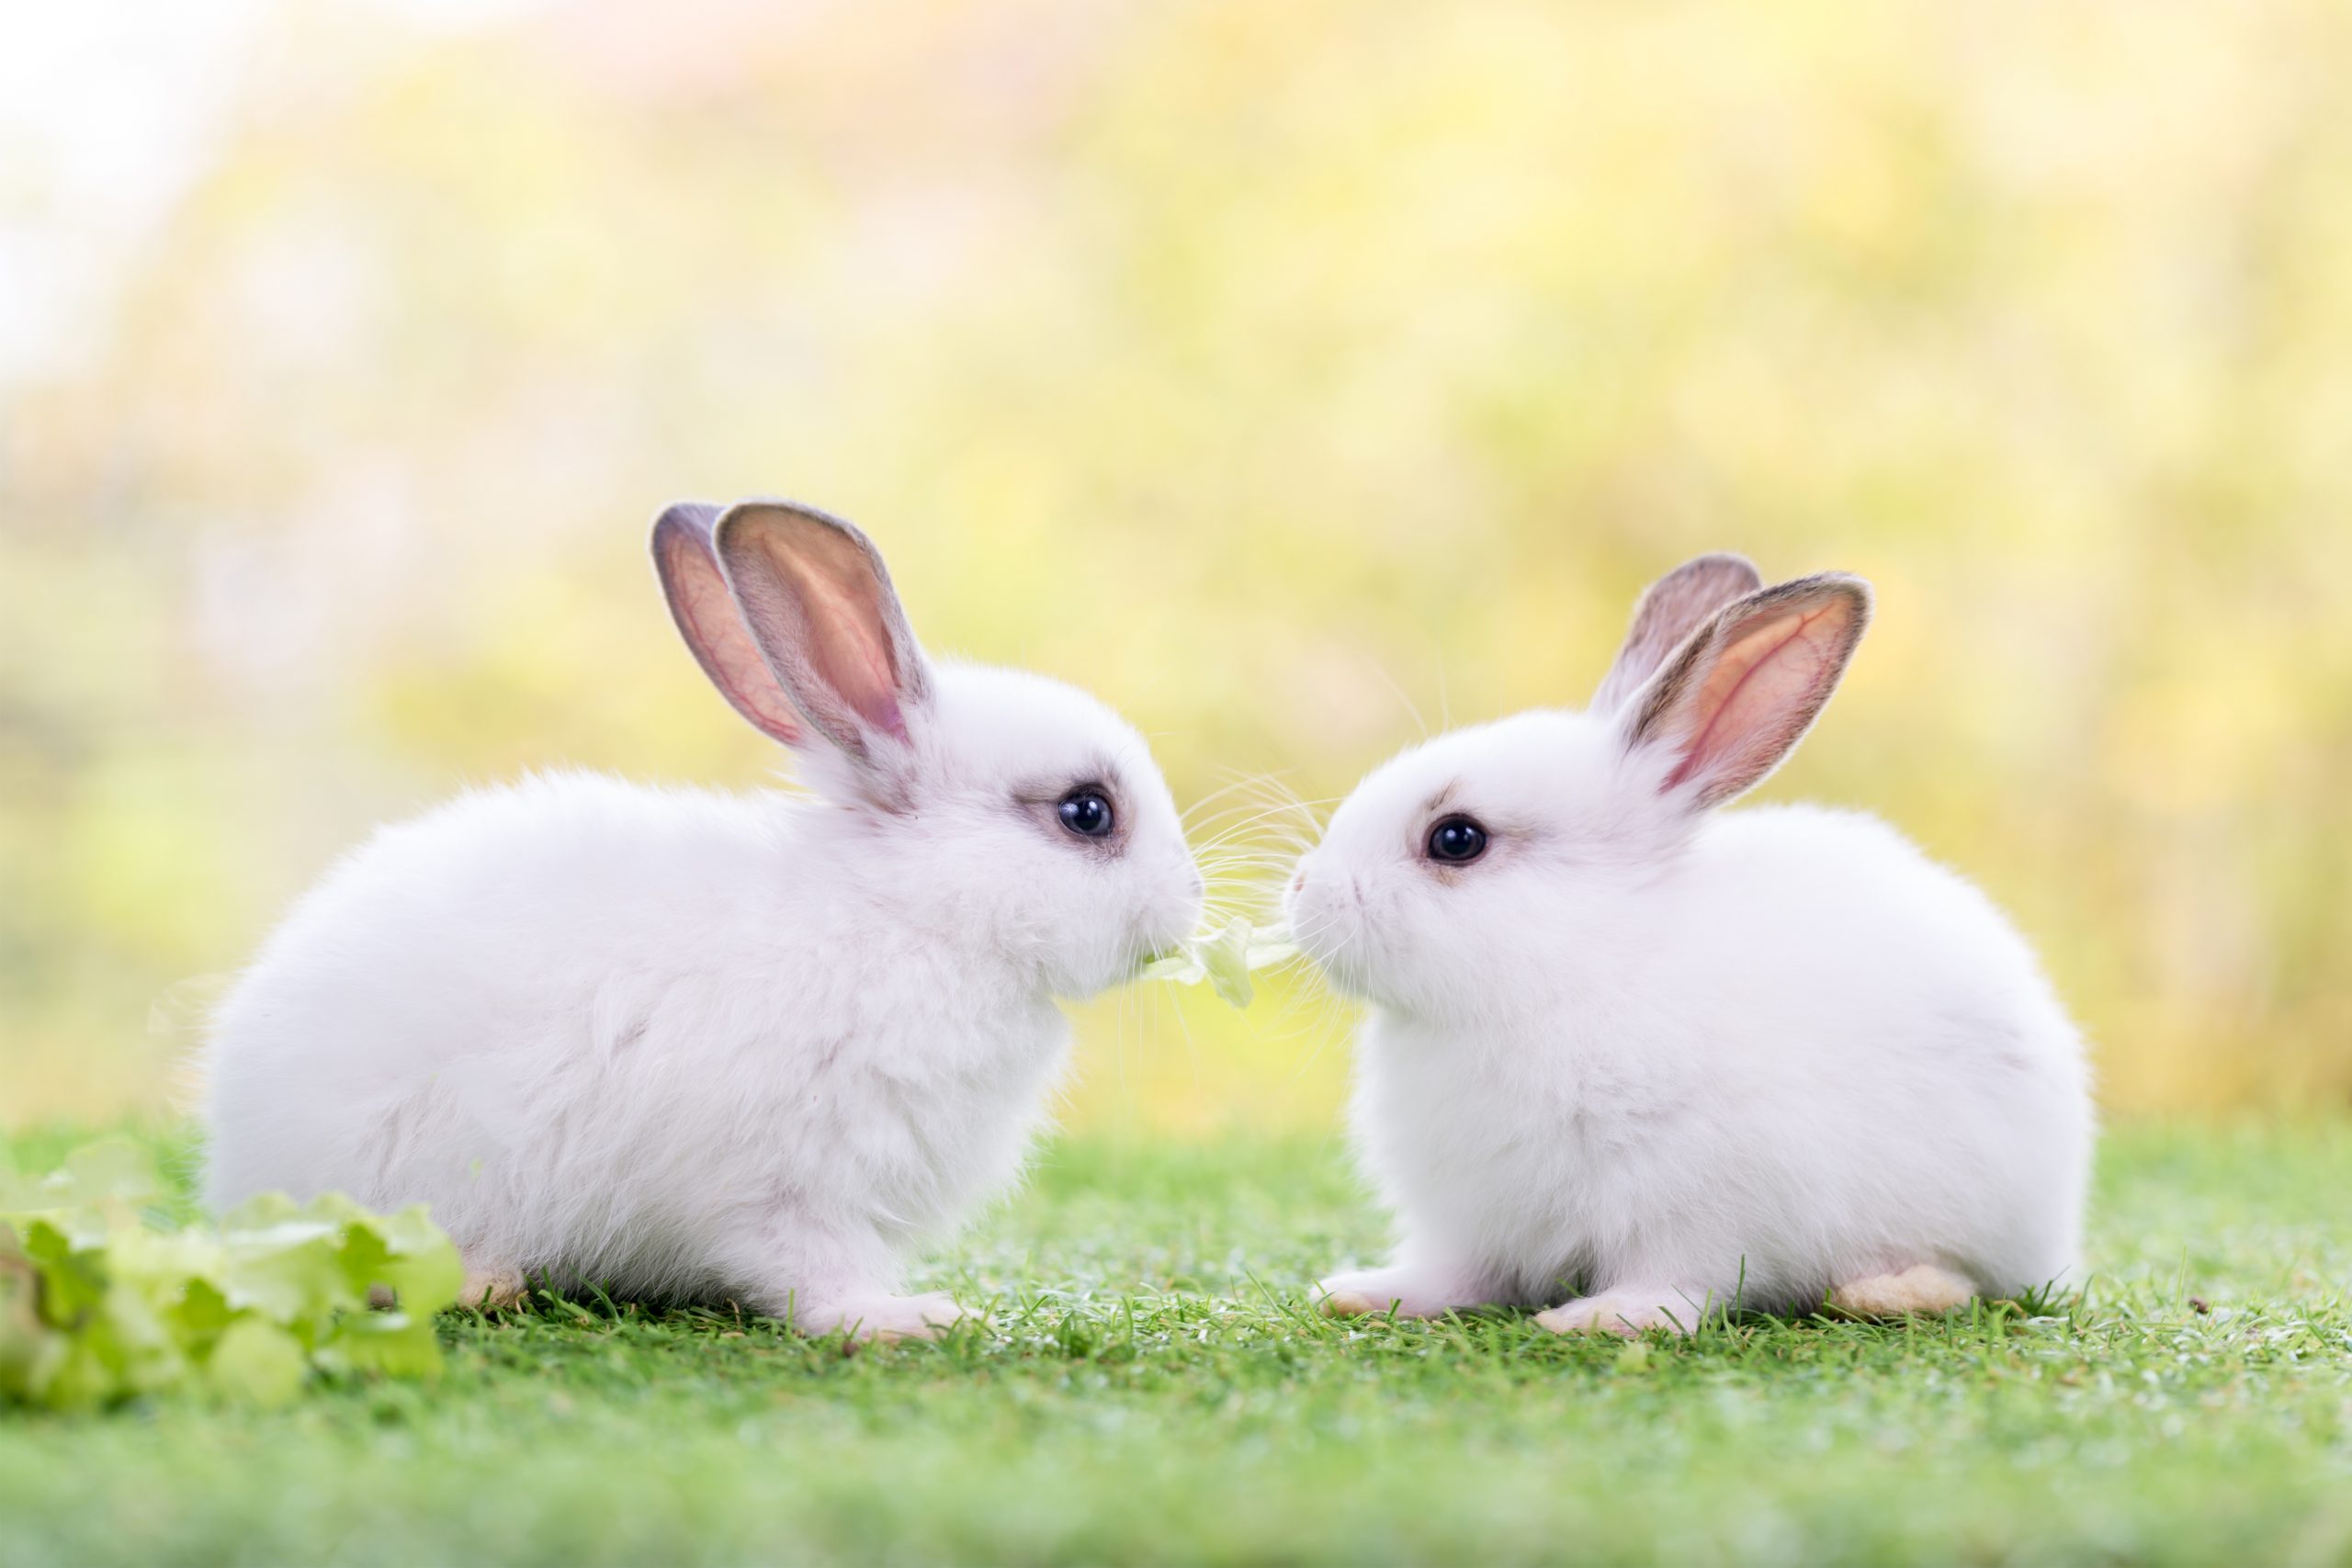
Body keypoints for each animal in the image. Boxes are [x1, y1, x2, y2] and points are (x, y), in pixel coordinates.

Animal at [204, 499, 1203, 1341]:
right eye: (1087, 812)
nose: (1190, 904)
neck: (912, 915)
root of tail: (239, 1167)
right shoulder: (789, 1183)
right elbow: (812, 1272)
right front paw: (906, 1320)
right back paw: (491, 1283)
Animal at [1285, 555, 2092, 1335]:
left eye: (1456, 838)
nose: (1303, 894)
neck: (1577, 968)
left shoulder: (1699, 1202)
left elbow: (1677, 1277)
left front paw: (1605, 1318)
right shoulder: (1470, 1219)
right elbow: (1459, 1275)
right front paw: (1360, 1293)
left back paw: (1888, 1292)